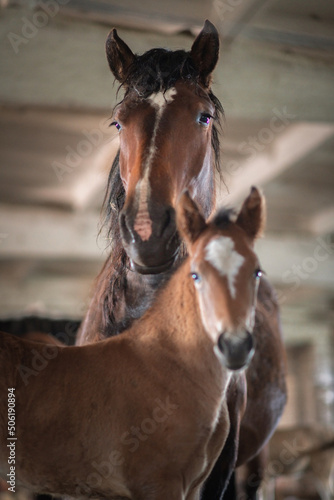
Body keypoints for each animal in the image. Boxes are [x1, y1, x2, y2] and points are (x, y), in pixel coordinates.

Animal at [1, 188, 264, 500]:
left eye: (257, 272)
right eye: (196, 274)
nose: (235, 346)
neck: (168, 365)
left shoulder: (193, 487)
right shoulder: (158, 483)